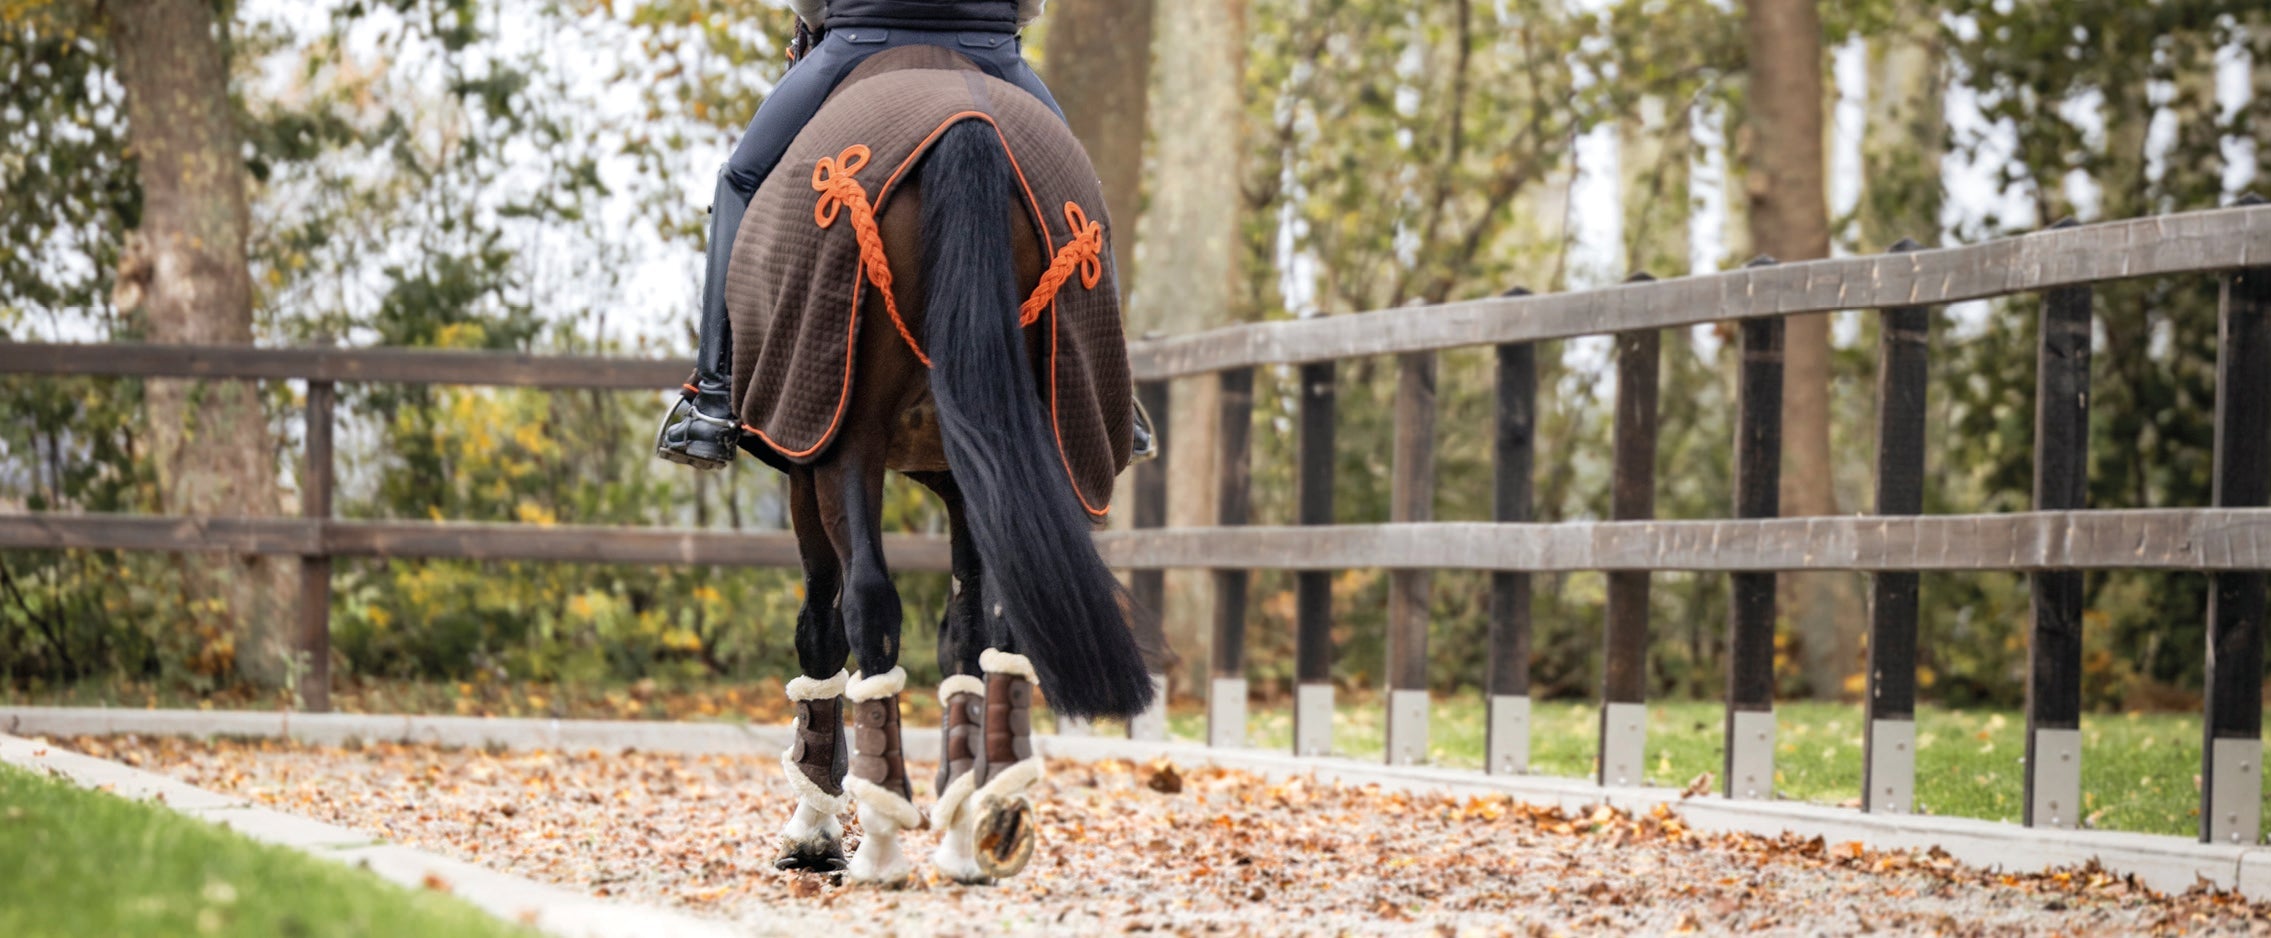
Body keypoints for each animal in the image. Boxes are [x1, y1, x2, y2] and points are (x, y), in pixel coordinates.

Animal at [722, 47, 1155, 886]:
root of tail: (968, 124)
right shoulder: (966, 480)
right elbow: (961, 631)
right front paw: (958, 812)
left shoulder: (807, 464)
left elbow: (821, 628)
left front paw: (817, 826)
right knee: (1005, 624)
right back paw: (991, 818)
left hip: (845, 448)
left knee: (867, 605)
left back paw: (880, 843)